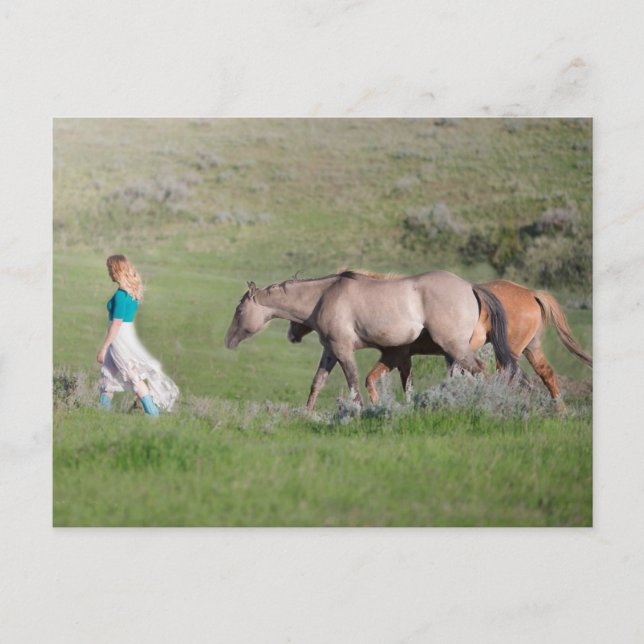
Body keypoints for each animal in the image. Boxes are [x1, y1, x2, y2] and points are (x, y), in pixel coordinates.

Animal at [225, 270, 518, 411]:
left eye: (239, 311)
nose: (228, 341)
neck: (325, 296)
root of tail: (470, 286)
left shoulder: (344, 350)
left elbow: (354, 384)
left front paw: (359, 412)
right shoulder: (330, 351)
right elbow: (317, 383)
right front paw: (307, 414)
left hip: (455, 347)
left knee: (481, 371)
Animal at [288, 275, 592, 410]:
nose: (292, 334)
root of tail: (531, 293)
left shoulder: (397, 355)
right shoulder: (402, 357)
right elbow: (401, 384)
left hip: (508, 353)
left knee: (509, 378)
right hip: (529, 349)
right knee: (546, 376)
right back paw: (559, 412)